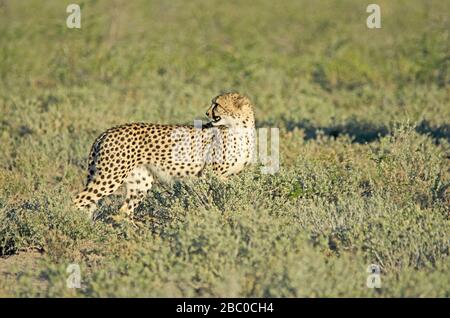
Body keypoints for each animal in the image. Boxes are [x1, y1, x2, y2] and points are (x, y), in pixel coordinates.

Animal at [75, 92, 255, 221]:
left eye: (217, 104)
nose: (206, 112)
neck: (240, 128)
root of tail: (106, 132)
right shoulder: (211, 174)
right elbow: (218, 192)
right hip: (111, 177)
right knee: (79, 199)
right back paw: (76, 224)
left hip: (140, 181)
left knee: (124, 210)